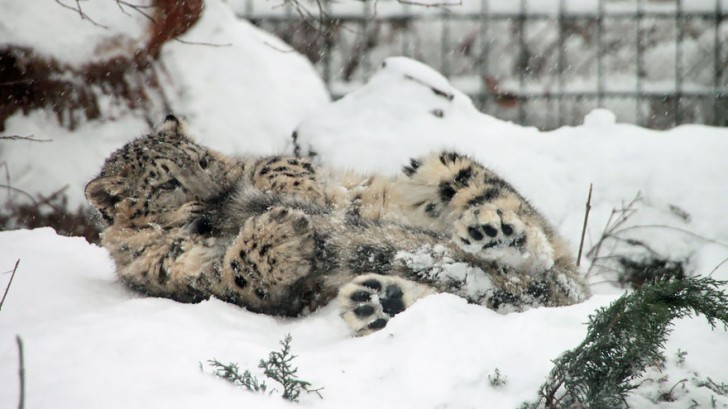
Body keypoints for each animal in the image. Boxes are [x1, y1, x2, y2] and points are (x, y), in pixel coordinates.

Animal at [86, 115, 589, 335]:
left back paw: (493, 233)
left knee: (538, 251)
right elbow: (237, 275)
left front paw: (300, 198)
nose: (222, 187)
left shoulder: (265, 163)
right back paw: (378, 302)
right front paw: (282, 230)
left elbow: (281, 165)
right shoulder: (185, 279)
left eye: (203, 159)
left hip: (445, 167)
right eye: (167, 182)